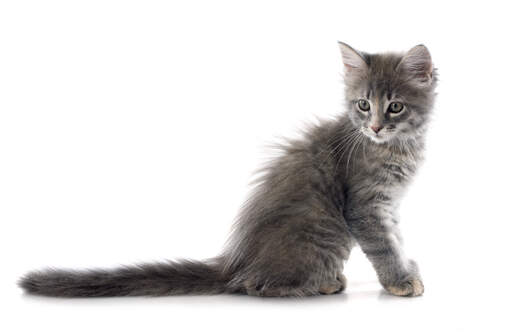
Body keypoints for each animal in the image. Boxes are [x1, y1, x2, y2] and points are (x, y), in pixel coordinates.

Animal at [19, 40, 436, 296]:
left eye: (394, 106)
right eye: (363, 105)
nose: (375, 126)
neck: (397, 147)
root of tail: (236, 263)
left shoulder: (388, 205)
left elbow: (397, 241)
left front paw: (410, 269)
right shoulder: (365, 207)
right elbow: (384, 246)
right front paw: (400, 281)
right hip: (326, 234)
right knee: (259, 286)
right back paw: (323, 283)